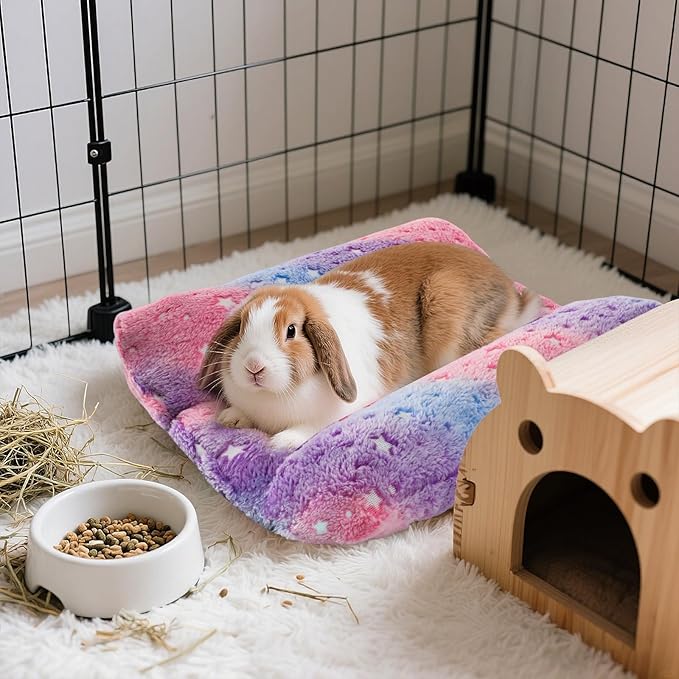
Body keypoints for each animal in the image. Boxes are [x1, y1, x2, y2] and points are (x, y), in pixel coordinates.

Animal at [199, 241, 543, 450]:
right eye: (241, 327)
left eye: (291, 331)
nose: (253, 367)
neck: (272, 397)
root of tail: (510, 292)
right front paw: (230, 418)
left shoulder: (329, 416)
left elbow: (310, 427)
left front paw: (281, 442)